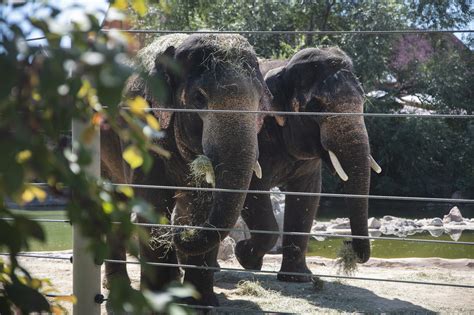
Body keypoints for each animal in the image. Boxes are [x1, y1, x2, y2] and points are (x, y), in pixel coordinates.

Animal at [101, 34, 270, 306]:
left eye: (261, 104)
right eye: (199, 98)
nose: (181, 233)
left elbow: (203, 207)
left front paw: (202, 304)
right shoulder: (140, 129)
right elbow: (153, 203)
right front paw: (158, 300)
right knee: (116, 202)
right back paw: (118, 287)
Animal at [234, 47, 382, 284]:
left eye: (363, 100)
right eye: (315, 106)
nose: (347, 243)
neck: (282, 66)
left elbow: (307, 195)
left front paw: (298, 278)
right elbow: (253, 188)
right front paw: (245, 257)